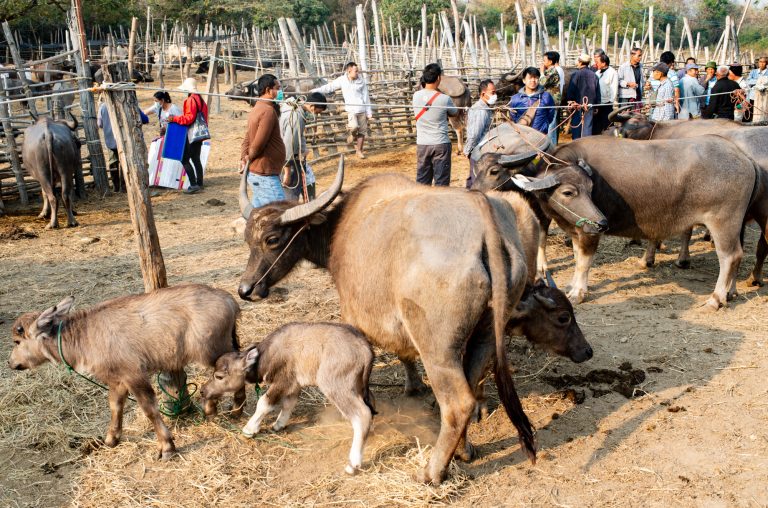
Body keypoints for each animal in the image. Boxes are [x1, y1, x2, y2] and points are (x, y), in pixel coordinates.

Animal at [201, 324, 376, 474]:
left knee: (362, 414)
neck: (268, 355)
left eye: (219, 376)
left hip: (335, 385)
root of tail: (364, 348)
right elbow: (288, 403)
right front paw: (279, 424)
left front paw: (250, 429)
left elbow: (264, 402)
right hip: (359, 387)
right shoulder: (294, 385)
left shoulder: (283, 381)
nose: (203, 390)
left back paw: (353, 464)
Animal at [237, 159, 592, 484]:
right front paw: (413, 385)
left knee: (458, 403)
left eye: (272, 239)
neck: (342, 226)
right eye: (247, 239)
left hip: (438, 347)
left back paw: (433, 471)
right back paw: (464, 451)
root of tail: (483, 216)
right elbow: (404, 354)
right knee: (471, 383)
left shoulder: (357, 319)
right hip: (487, 332)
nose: (246, 289)